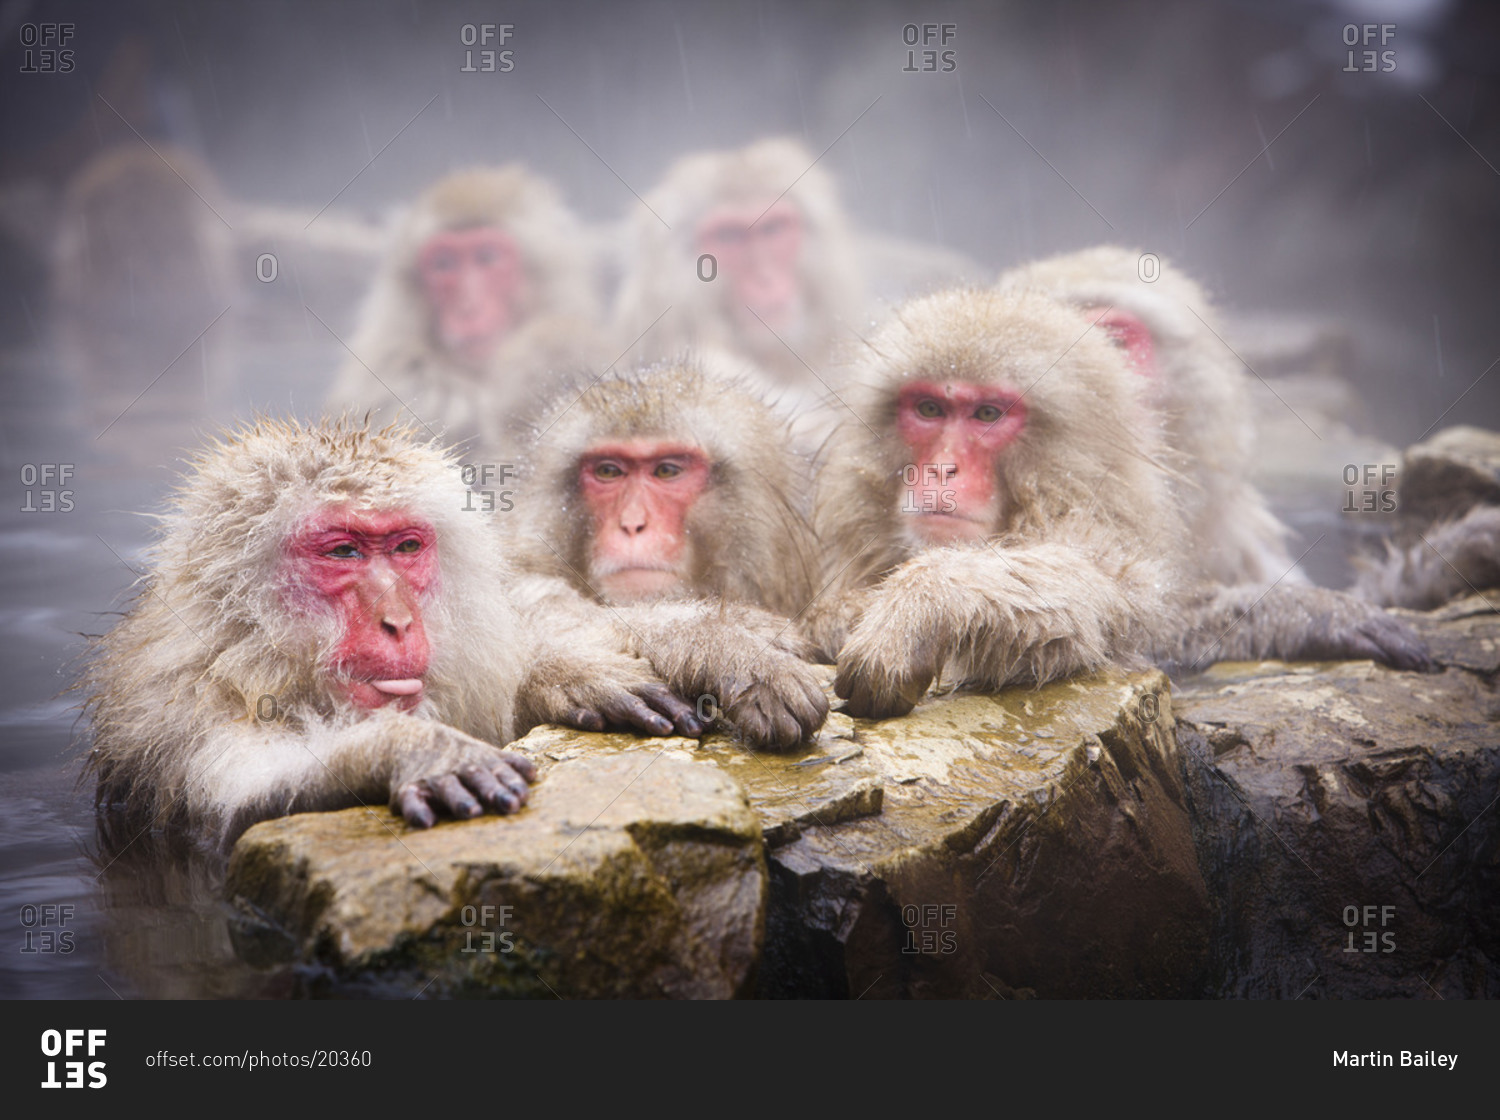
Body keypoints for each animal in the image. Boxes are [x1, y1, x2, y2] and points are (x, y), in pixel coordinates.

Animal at [84, 417, 702, 853]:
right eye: (344, 551)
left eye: (406, 547)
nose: (400, 621)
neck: (251, 659)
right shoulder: (179, 720)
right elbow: (240, 802)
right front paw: (411, 750)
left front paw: (574, 673)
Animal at [807, 287, 1428, 721]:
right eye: (930, 408)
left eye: (987, 414)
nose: (940, 468)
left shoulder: (1090, 517)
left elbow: (1103, 610)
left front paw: (921, 605)